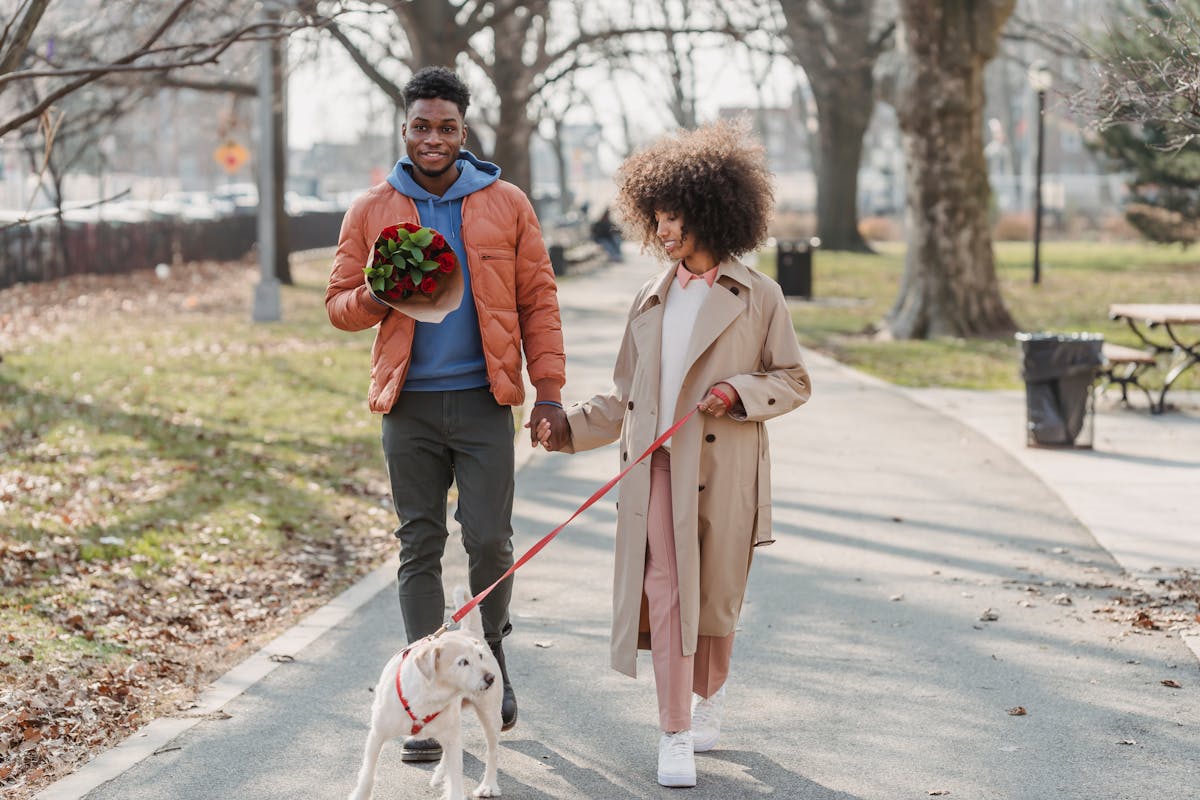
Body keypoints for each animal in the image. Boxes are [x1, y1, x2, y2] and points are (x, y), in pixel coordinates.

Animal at [348, 587, 501, 800]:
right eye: (463, 662)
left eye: (480, 656)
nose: (490, 678)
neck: (430, 696)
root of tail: (469, 630)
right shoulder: (377, 734)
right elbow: (368, 773)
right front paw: (361, 793)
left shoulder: (452, 735)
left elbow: (456, 779)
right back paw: (440, 775)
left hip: (490, 715)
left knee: (492, 752)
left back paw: (488, 785)